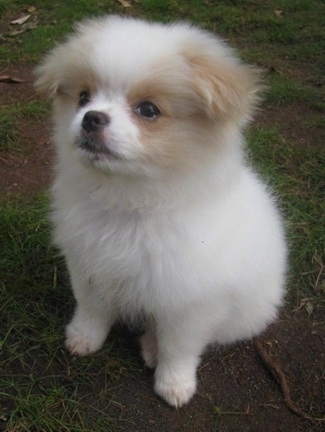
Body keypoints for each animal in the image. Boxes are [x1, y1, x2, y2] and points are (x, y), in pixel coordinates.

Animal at [35, 15, 286, 408]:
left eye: (148, 110)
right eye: (83, 97)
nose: (91, 118)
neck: (132, 201)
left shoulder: (191, 301)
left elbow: (179, 347)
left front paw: (175, 385)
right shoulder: (89, 264)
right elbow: (92, 308)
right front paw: (83, 338)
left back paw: (152, 347)